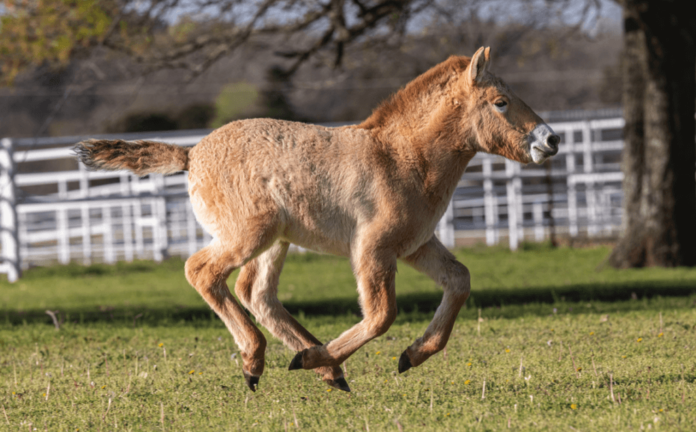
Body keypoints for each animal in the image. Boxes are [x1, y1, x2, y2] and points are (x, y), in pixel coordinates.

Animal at [75, 46, 560, 393]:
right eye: (500, 102)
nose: (551, 140)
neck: (402, 158)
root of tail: (191, 155)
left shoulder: (416, 245)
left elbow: (459, 281)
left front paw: (411, 355)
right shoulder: (372, 249)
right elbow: (381, 315)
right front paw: (324, 358)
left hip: (277, 242)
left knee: (256, 293)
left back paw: (322, 369)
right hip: (251, 235)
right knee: (203, 271)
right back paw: (263, 359)